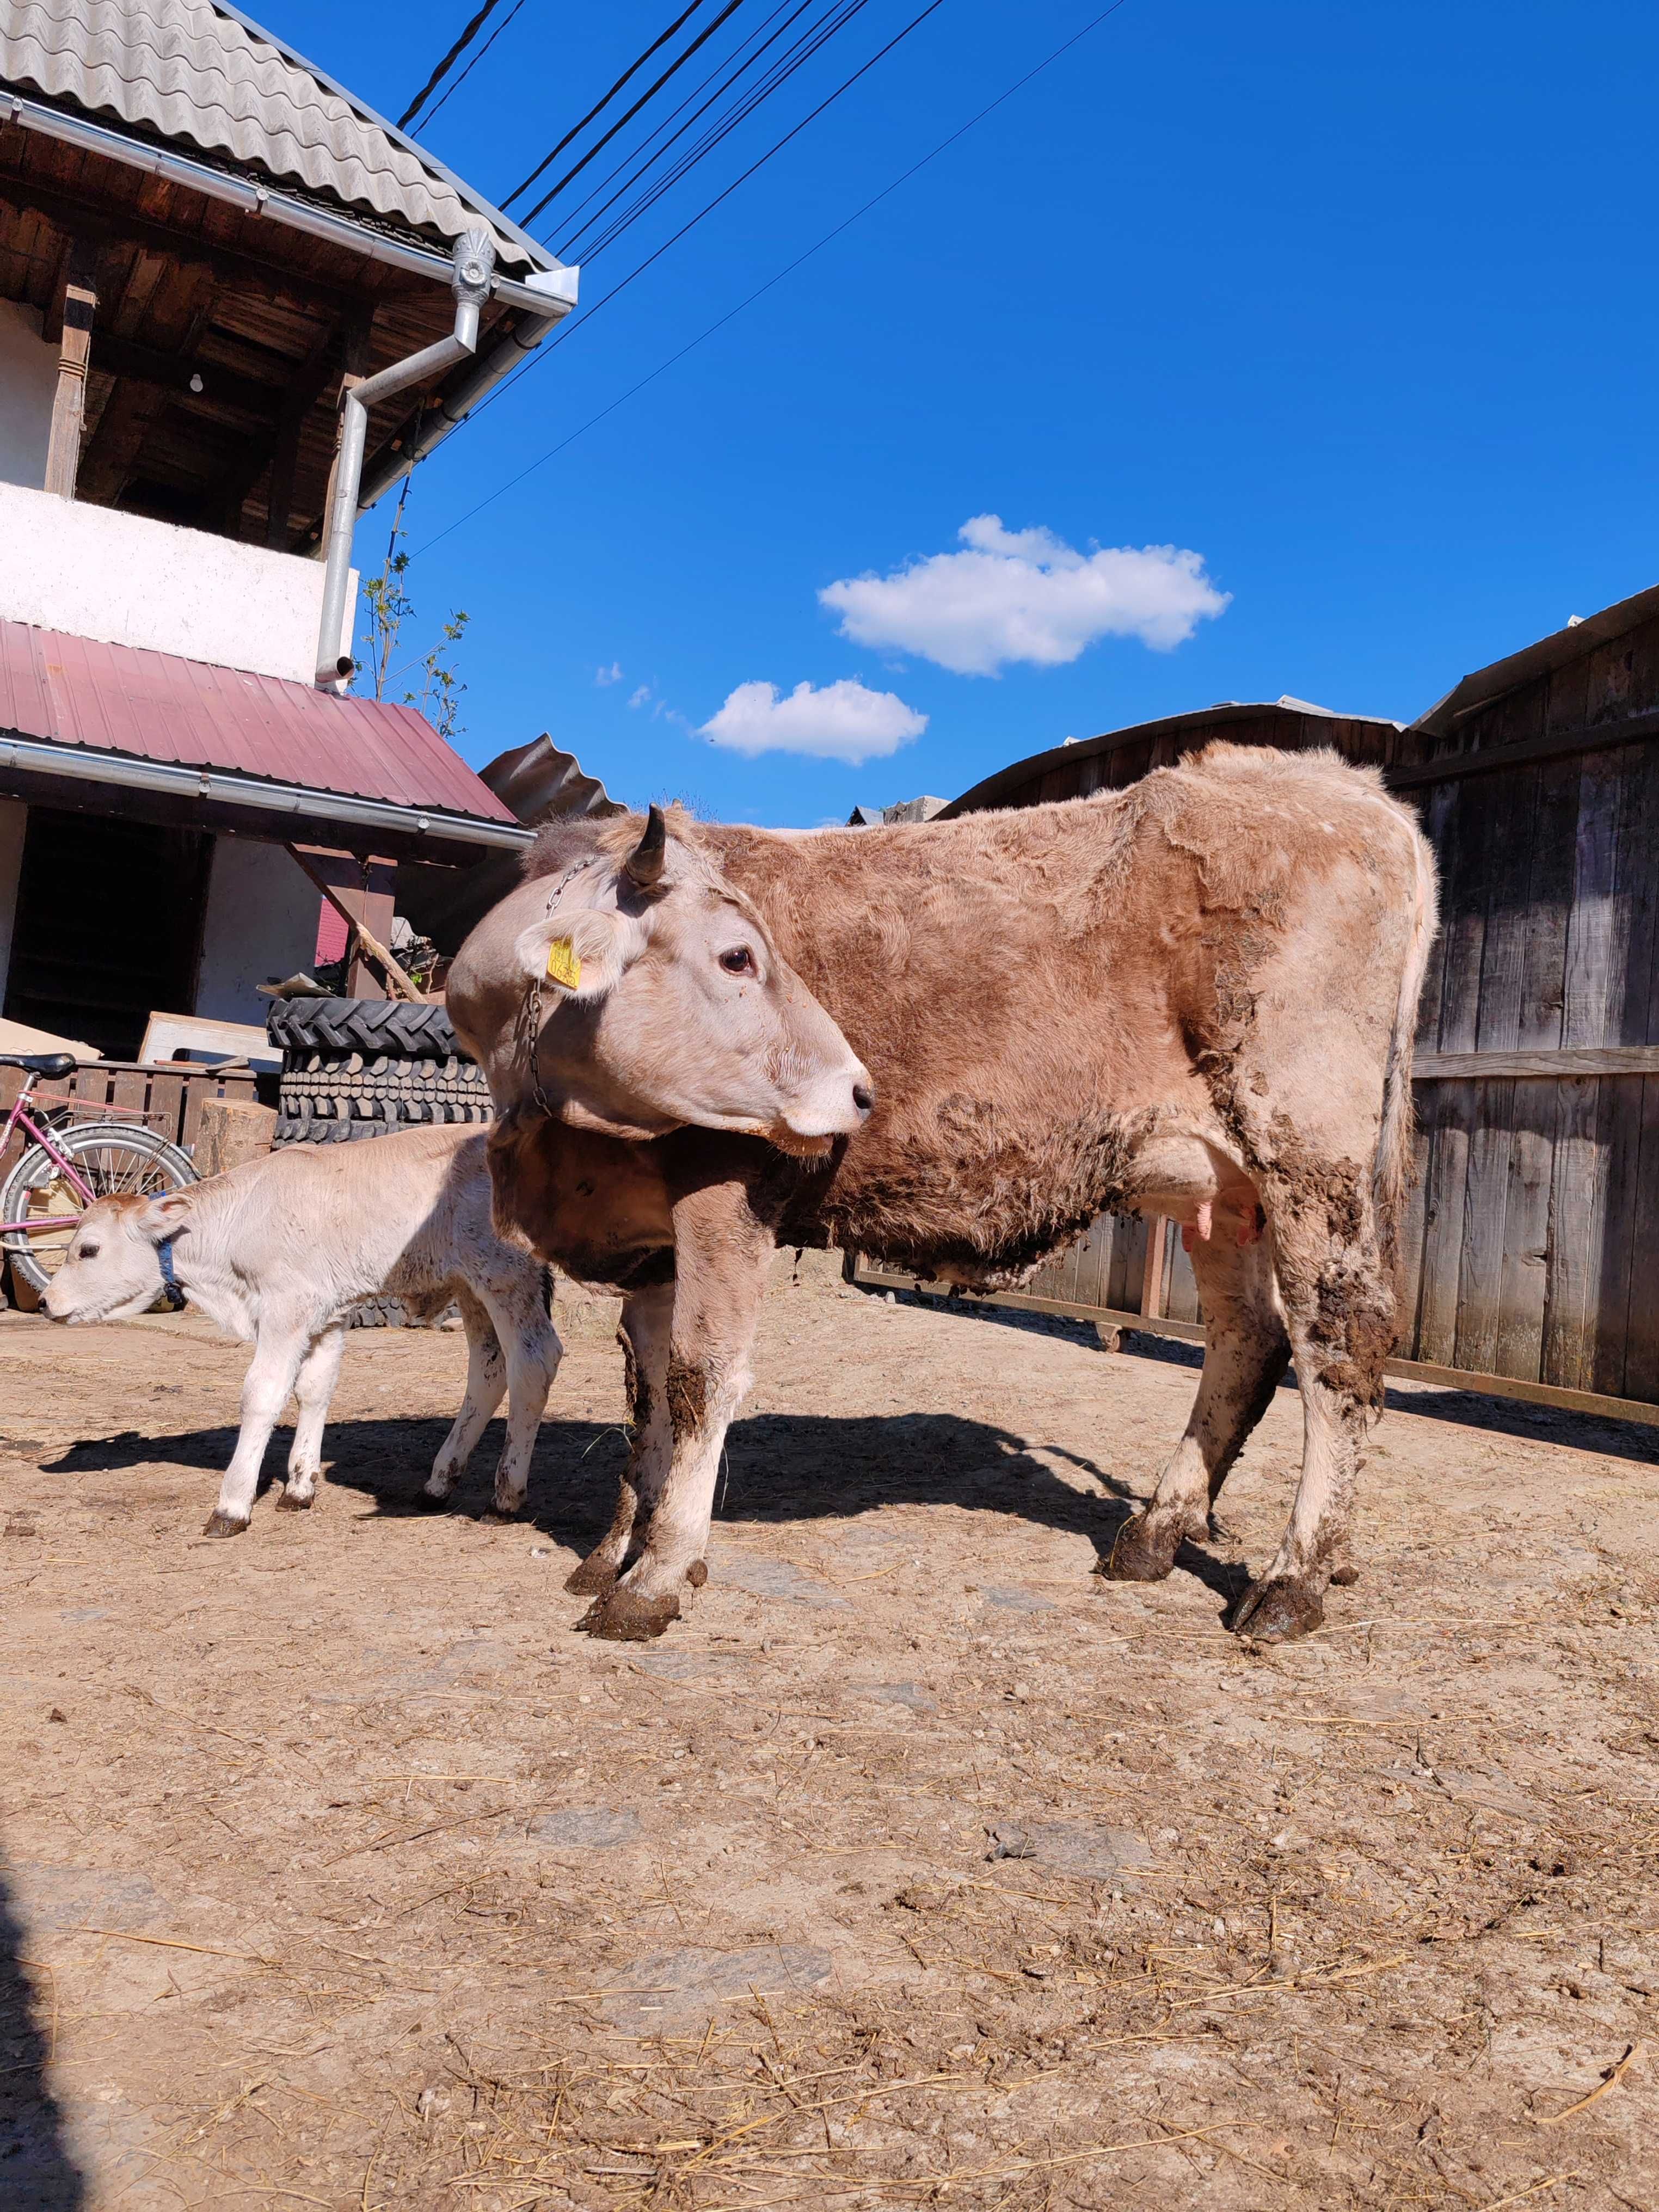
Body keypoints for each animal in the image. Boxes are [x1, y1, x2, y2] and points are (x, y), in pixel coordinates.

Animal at [44, 1123, 566, 1539]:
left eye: (88, 1249)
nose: (47, 1302)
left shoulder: (286, 1308)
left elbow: (263, 1393)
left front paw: (232, 1505)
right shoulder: (326, 1314)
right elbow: (315, 1388)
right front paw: (299, 1486)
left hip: (505, 1276)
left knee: (534, 1362)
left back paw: (504, 1497)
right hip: (470, 1287)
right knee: (488, 1369)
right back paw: (439, 1482)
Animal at [456, 752, 1442, 1654]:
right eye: (736, 955)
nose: (857, 1089)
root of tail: (1344, 783)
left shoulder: (727, 1185)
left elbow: (700, 1376)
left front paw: (654, 1578)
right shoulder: (646, 1237)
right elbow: (644, 1390)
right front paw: (614, 1549)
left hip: (1310, 1145)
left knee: (1339, 1341)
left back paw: (1290, 1579)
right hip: (1219, 1182)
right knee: (1247, 1336)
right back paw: (1155, 1533)